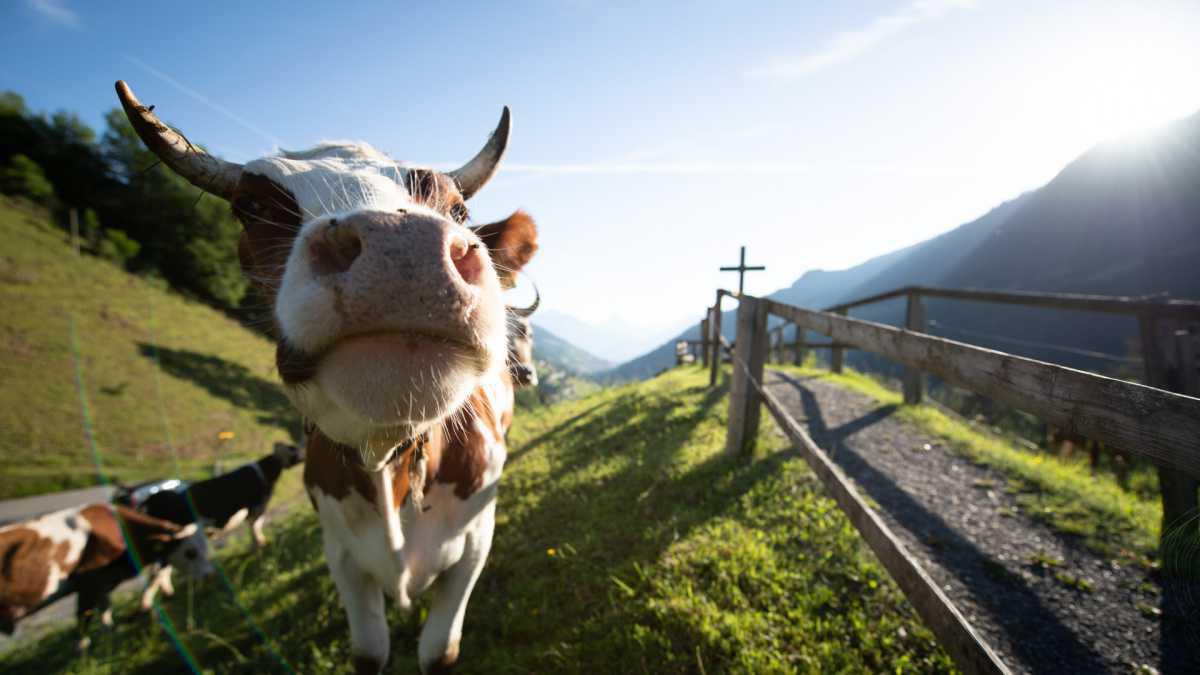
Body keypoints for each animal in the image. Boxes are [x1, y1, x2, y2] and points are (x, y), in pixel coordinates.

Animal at [0, 502, 210, 646]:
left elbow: (106, 611)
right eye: (190, 552)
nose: (210, 575)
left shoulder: (103, 582)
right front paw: (84, 652)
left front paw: (110, 635)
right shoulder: (88, 583)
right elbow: (83, 618)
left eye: (206, 547)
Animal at [128, 442, 304, 611]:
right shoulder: (257, 508)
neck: (263, 471)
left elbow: (254, 530)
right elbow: (256, 529)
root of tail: (149, 501)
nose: (304, 453)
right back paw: (148, 602)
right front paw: (259, 547)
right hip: (174, 541)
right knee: (158, 571)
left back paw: (165, 593)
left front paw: (257, 546)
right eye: (293, 449)